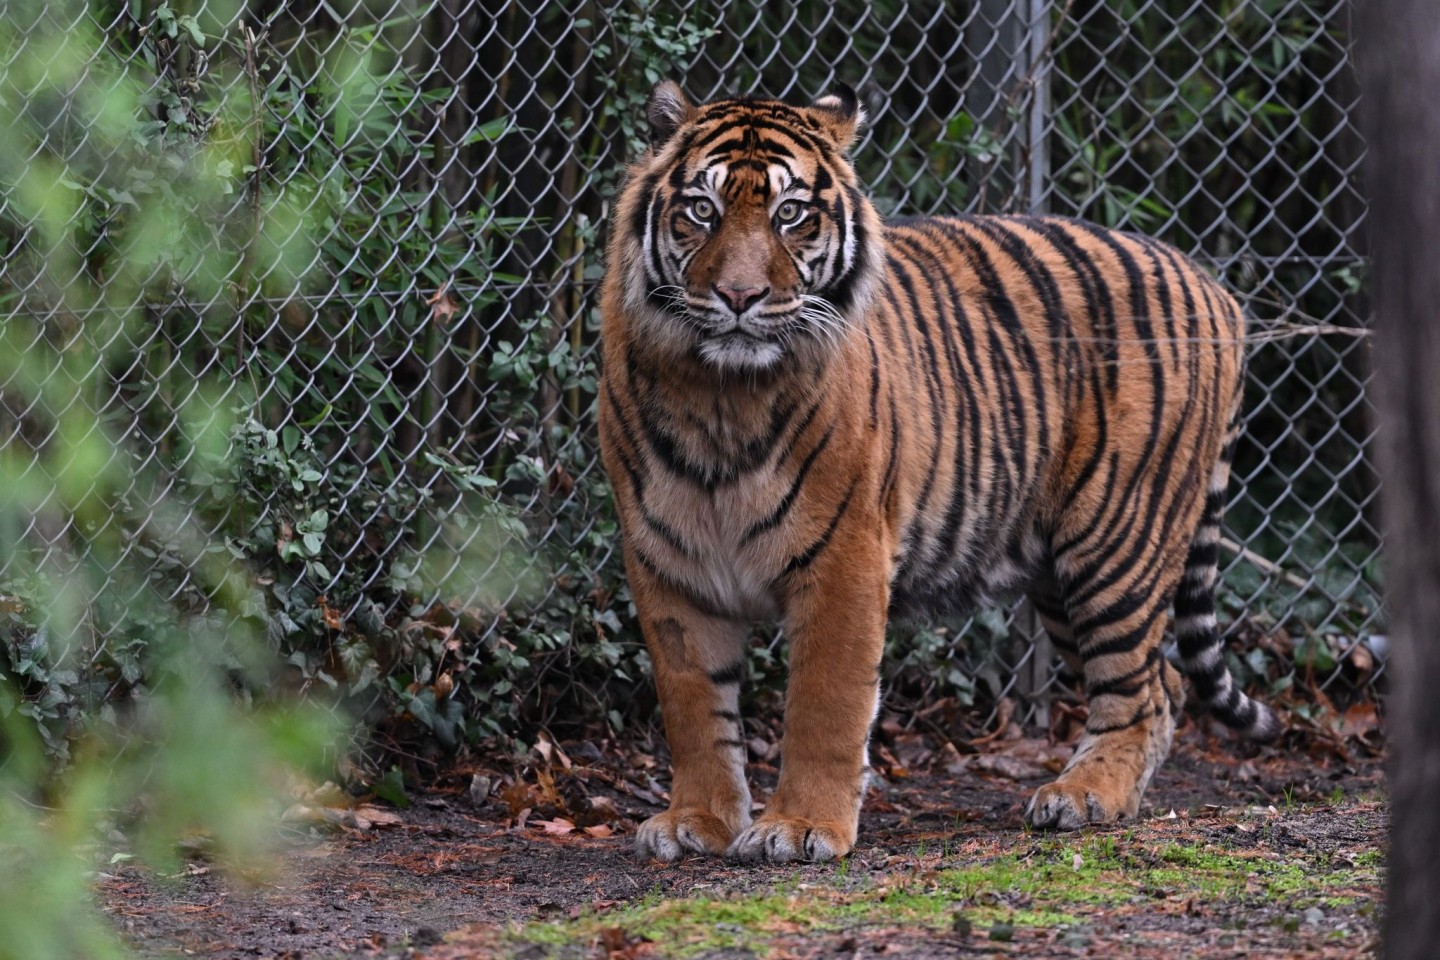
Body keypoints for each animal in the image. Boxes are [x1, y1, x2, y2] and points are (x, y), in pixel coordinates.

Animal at [596, 80, 1284, 863]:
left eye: (790, 214)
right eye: (702, 211)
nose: (738, 297)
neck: (719, 395)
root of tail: (1213, 285)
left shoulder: (845, 556)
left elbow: (825, 704)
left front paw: (799, 827)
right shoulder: (667, 563)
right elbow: (693, 707)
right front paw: (697, 821)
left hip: (1117, 540)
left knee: (1140, 688)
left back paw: (1085, 796)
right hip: (1057, 568)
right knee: (1163, 682)